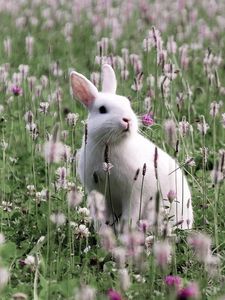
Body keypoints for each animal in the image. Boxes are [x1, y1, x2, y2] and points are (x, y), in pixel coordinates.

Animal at [71, 63, 193, 232]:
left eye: (127, 104)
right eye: (102, 109)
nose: (127, 120)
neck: (113, 144)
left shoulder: (134, 194)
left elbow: (130, 215)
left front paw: (124, 233)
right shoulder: (98, 192)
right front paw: (103, 232)